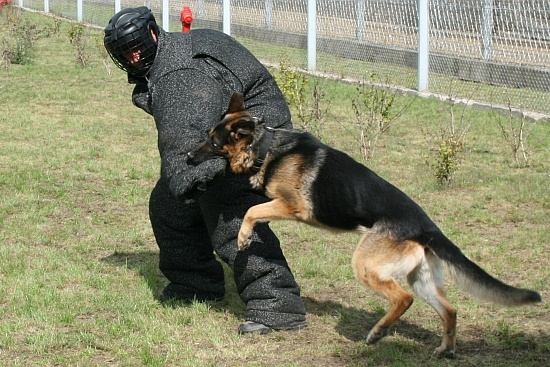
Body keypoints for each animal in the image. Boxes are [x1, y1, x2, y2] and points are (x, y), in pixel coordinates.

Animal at [190, 93, 544, 358]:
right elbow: (253, 206)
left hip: (366, 264)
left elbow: (253, 210)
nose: (189, 158)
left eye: (213, 142)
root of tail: (427, 227)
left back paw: (378, 332)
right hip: (421, 279)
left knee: (403, 299)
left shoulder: (292, 206)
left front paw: (244, 238)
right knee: (450, 309)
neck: (266, 147)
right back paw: (446, 349)